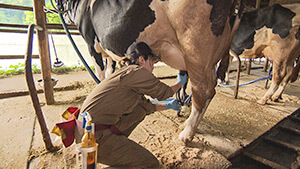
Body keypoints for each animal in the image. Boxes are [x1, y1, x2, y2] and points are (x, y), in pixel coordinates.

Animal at [57, 0, 243, 143]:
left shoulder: (92, 44)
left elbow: (101, 74)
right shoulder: (108, 52)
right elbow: (110, 72)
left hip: (196, 47)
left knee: (203, 91)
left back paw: (186, 135)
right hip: (212, 55)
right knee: (210, 89)